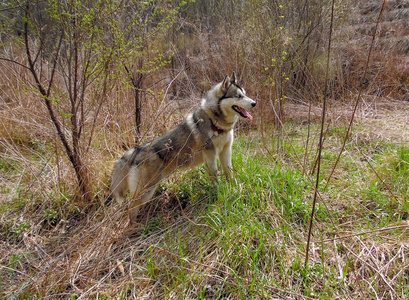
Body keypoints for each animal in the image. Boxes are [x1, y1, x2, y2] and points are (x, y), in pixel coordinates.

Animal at [111, 71, 255, 224]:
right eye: (238, 96)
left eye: (245, 94)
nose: (254, 103)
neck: (216, 123)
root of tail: (135, 149)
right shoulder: (210, 154)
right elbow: (215, 175)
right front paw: (217, 190)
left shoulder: (226, 151)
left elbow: (229, 171)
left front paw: (232, 186)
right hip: (146, 190)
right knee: (130, 208)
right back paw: (136, 226)